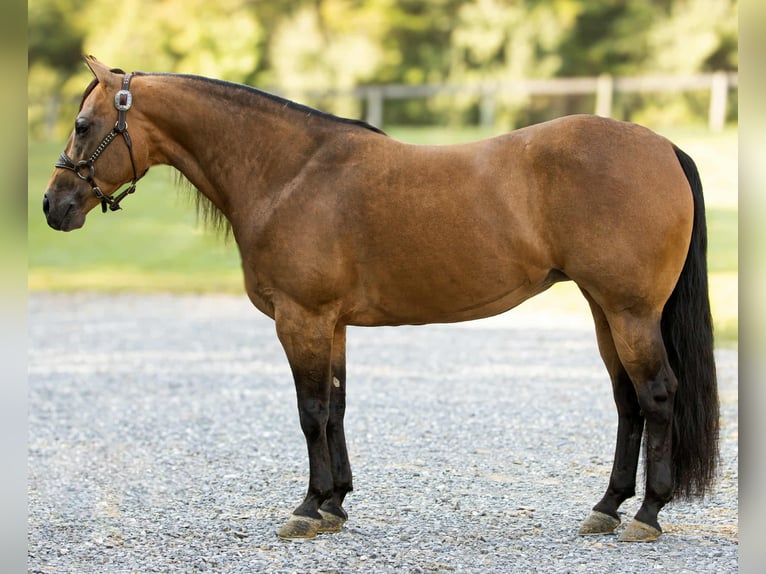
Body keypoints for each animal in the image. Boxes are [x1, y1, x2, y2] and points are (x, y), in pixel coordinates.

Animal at [43, 56, 719, 542]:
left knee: (657, 395)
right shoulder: (332, 325)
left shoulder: (302, 320)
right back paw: (606, 507)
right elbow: (337, 409)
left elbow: (311, 411)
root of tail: (662, 146)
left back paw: (647, 515)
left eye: (83, 125)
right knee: (628, 402)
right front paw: (335, 503)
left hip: (630, 312)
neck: (290, 174)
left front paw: (308, 509)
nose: (53, 206)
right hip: (606, 312)